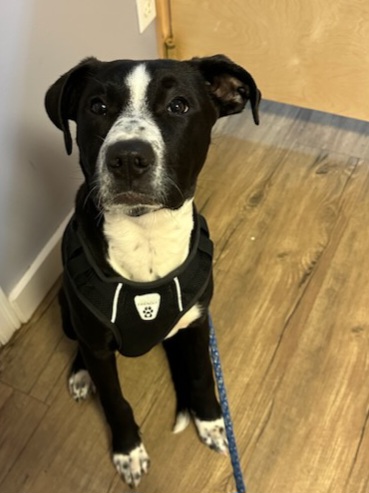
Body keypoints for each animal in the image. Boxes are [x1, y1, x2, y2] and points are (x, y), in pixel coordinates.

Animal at [45, 55, 258, 486]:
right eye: (96, 106)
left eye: (179, 105)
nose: (128, 158)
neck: (145, 235)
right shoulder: (96, 342)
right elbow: (115, 400)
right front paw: (128, 451)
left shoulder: (198, 323)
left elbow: (201, 373)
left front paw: (211, 421)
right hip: (66, 310)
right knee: (78, 344)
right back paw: (81, 375)